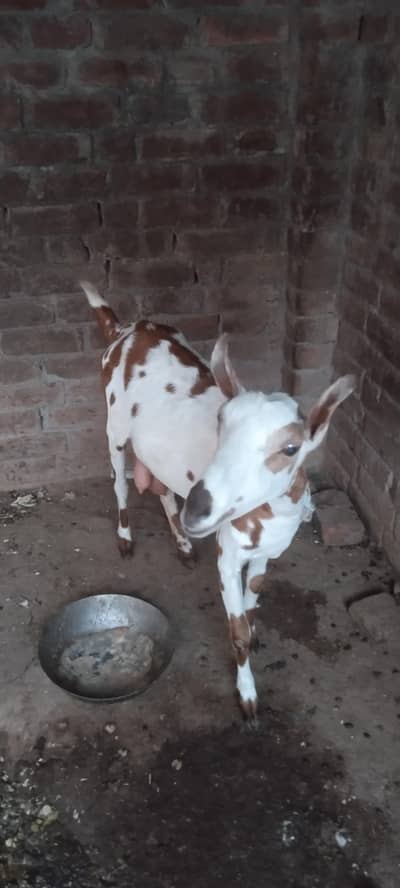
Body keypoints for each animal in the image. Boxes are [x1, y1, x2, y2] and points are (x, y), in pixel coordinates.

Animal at [81, 281, 355, 724]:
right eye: (221, 423)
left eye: (291, 448)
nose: (199, 507)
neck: (271, 518)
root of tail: (125, 329)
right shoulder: (229, 553)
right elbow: (238, 630)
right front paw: (247, 696)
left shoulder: (266, 552)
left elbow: (252, 606)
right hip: (115, 425)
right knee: (120, 483)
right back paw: (125, 538)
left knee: (162, 490)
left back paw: (183, 544)